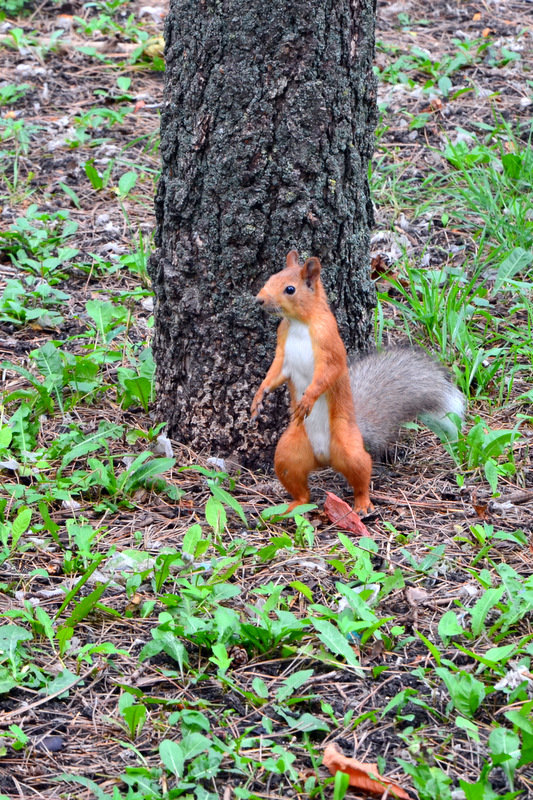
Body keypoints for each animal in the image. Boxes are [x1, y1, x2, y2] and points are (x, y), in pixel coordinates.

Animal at [251, 247, 464, 516]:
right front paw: (259, 397)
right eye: (270, 278)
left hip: (348, 447)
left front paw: (308, 399)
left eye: (290, 289)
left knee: (362, 472)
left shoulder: (330, 344)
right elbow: (274, 374)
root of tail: (324, 458)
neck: (300, 323)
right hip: (289, 454)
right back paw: (295, 505)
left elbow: (327, 374)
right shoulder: (283, 352)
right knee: (300, 486)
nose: (259, 300)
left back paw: (362, 504)